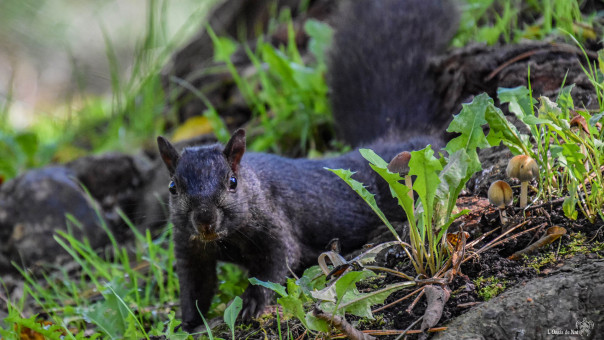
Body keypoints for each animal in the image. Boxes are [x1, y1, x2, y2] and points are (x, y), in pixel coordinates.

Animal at [156, 0, 458, 332]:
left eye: (232, 182)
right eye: (172, 187)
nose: (205, 220)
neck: (226, 238)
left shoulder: (276, 224)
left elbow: (277, 262)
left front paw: (253, 302)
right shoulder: (189, 246)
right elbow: (195, 286)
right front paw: (185, 324)